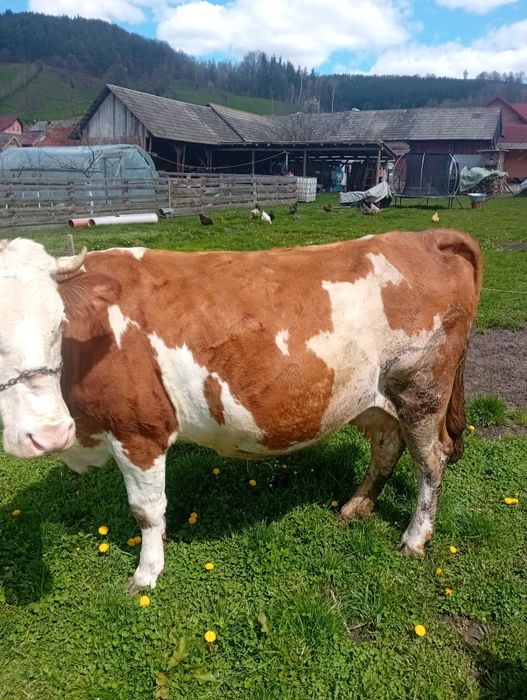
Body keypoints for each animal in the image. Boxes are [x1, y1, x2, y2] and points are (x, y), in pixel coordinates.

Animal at [0, 230, 482, 593]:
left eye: (58, 324)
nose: (47, 434)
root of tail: (422, 237)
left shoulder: (139, 430)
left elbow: (146, 510)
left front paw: (146, 573)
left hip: (423, 390)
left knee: (431, 460)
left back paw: (414, 538)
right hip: (376, 396)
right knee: (386, 446)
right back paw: (355, 507)